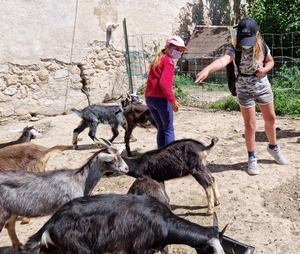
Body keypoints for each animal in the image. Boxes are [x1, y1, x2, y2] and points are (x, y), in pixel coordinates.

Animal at [22, 193, 226, 253]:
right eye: (210, 250)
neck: (163, 221)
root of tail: (51, 223)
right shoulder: (137, 249)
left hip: (54, 249)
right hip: (79, 249)